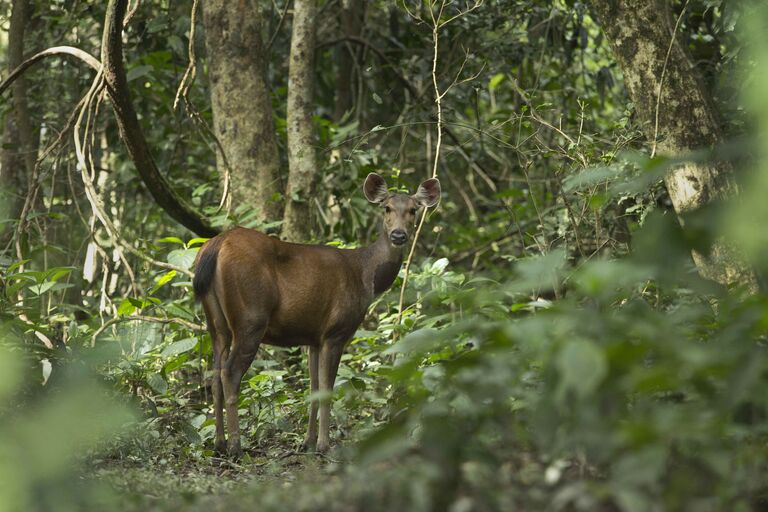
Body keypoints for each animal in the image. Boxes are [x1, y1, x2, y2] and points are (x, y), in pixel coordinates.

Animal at [192, 173, 440, 456]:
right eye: (386, 208)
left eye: (413, 209)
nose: (399, 235)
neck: (365, 276)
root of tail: (215, 245)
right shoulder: (336, 331)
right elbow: (327, 389)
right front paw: (324, 444)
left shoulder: (313, 337)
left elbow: (313, 389)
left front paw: (308, 442)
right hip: (250, 317)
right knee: (230, 373)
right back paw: (235, 445)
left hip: (216, 323)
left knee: (214, 375)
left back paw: (219, 443)